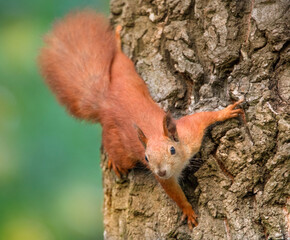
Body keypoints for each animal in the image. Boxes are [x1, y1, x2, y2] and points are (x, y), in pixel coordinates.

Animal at [38, 10, 242, 230]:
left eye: (172, 150)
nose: (160, 171)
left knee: (119, 60)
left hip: (125, 73)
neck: (179, 161)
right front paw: (187, 210)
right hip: (119, 143)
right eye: (146, 157)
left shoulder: (190, 133)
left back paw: (117, 41)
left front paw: (226, 112)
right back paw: (114, 162)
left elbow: (203, 117)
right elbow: (175, 194)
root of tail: (105, 102)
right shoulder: (167, 178)